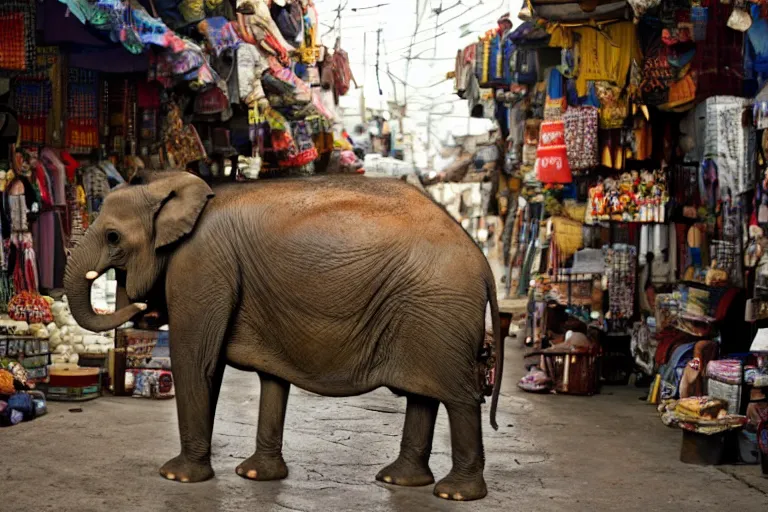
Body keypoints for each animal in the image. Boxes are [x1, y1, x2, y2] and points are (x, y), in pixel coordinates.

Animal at [61, 171, 504, 500]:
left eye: (113, 237)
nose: (139, 309)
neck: (170, 188)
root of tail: (482, 262)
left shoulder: (202, 264)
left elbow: (199, 361)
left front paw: (177, 478)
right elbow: (271, 379)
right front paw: (256, 476)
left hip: (438, 309)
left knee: (461, 399)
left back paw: (453, 493)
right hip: (425, 316)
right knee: (423, 394)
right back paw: (399, 481)